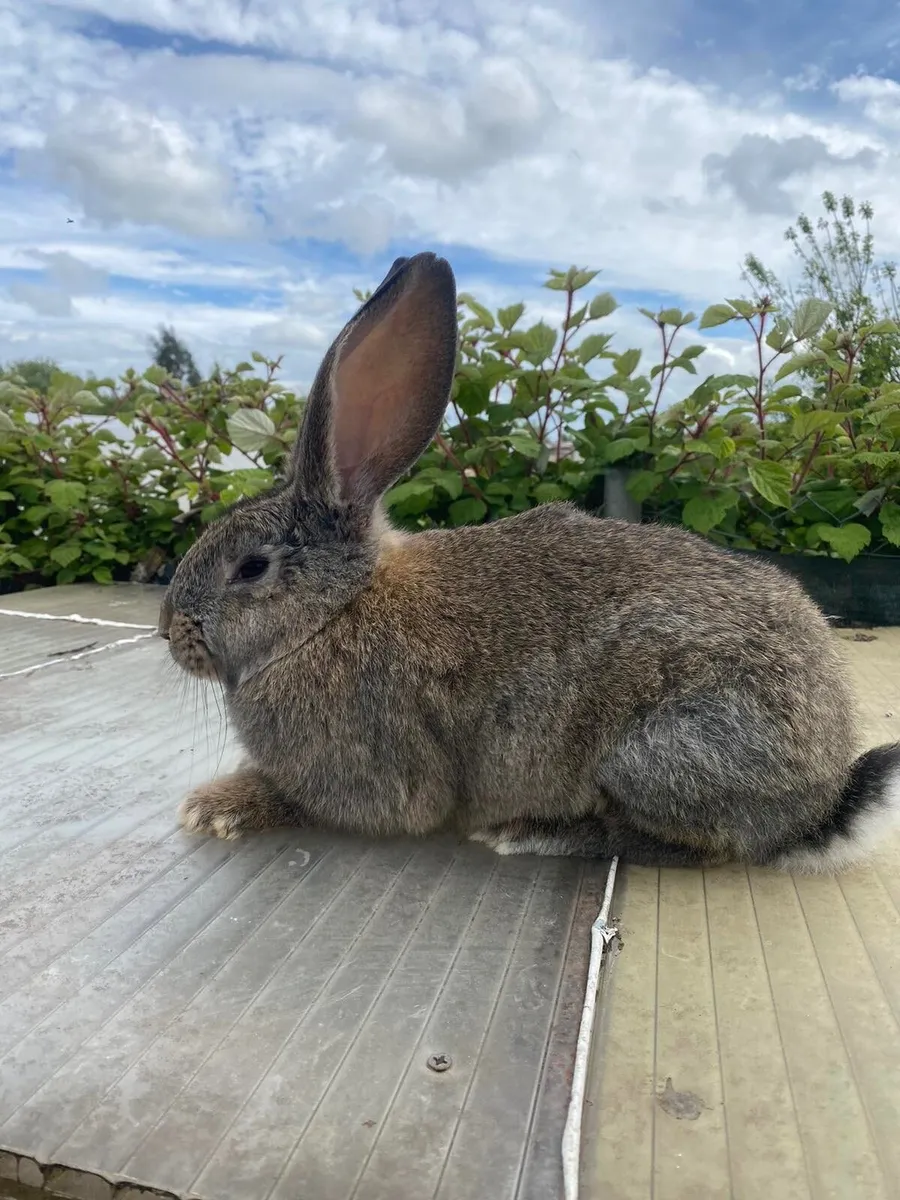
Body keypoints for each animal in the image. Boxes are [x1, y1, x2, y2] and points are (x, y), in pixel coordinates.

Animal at [158, 251, 900, 872]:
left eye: (250, 569)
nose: (169, 630)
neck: (332, 613)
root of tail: (820, 801)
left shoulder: (373, 772)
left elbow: (322, 801)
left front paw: (218, 806)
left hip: (661, 749)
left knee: (692, 846)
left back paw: (531, 832)